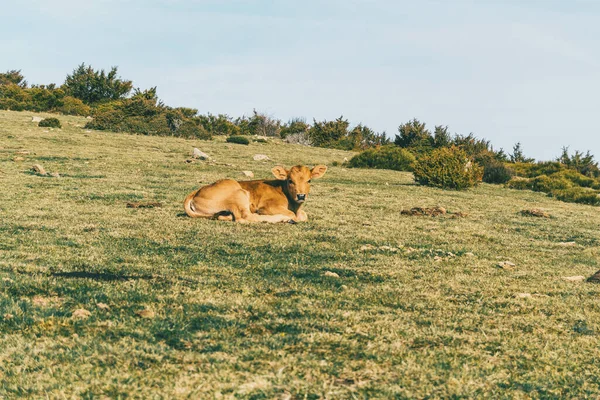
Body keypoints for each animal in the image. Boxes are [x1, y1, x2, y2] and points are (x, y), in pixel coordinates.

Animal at [183, 165, 328, 223]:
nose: (301, 196)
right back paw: (282, 218)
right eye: (290, 180)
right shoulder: (268, 206)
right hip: (239, 193)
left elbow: (304, 215)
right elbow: (293, 215)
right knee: (245, 217)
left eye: (309, 180)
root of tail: (197, 192)